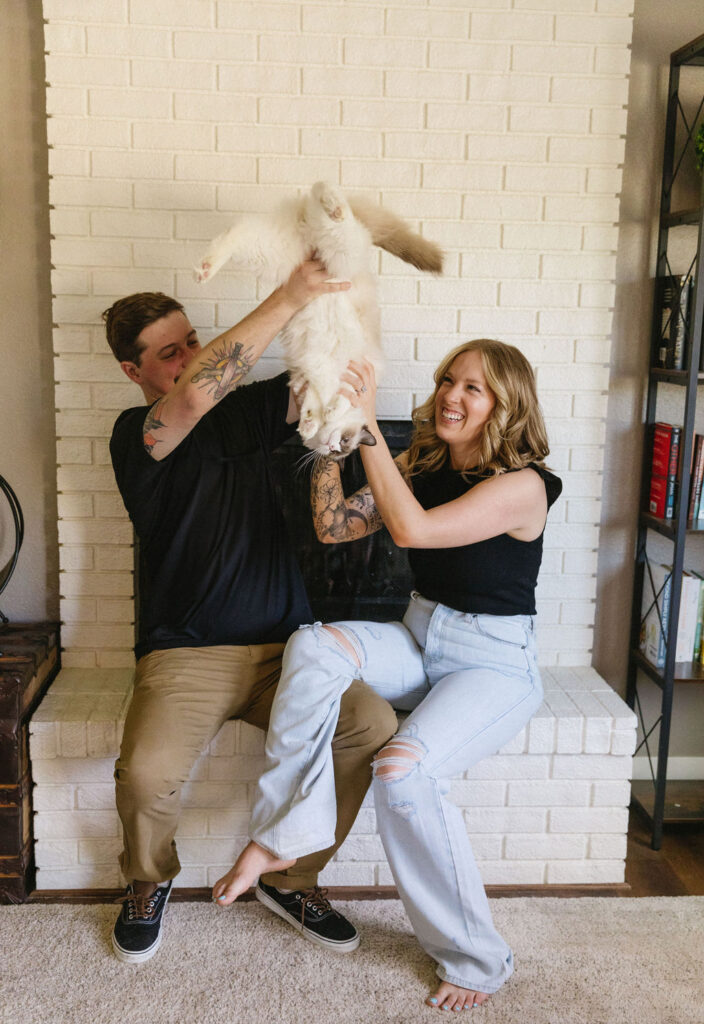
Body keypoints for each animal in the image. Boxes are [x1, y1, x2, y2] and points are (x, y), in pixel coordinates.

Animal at [195, 182, 442, 458]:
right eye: (344, 444)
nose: (332, 448)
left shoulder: (316, 376)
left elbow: (313, 403)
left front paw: (309, 424)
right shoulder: (356, 369)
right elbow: (342, 398)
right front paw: (328, 413)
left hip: (273, 253)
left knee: (232, 235)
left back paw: (203, 270)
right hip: (340, 257)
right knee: (341, 220)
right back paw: (328, 195)